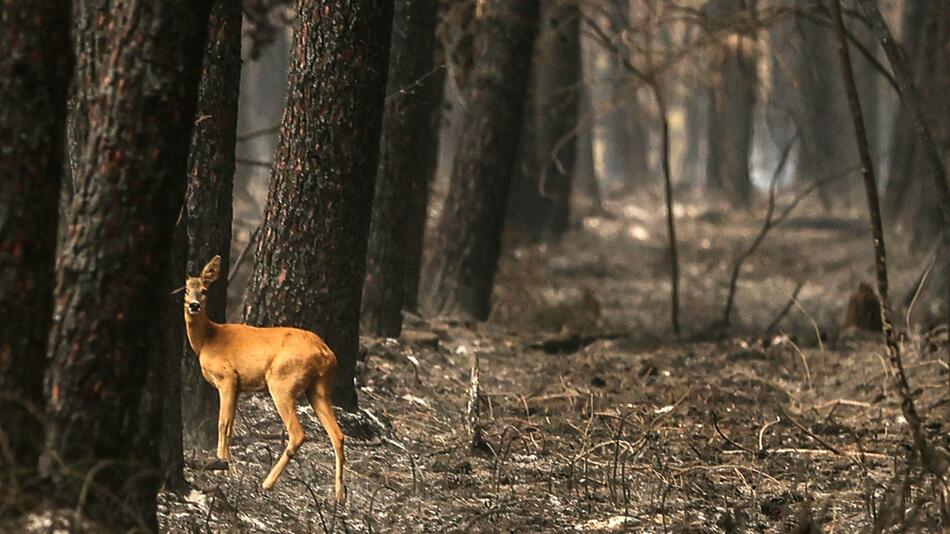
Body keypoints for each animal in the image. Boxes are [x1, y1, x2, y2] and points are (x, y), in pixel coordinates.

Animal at [182, 258, 346, 504]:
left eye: (204, 290)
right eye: (185, 290)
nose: (193, 305)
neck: (207, 340)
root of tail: (326, 353)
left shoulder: (227, 377)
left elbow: (223, 423)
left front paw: (222, 467)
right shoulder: (237, 385)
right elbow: (230, 424)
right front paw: (226, 465)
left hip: (282, 381)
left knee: (298, 433)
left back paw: (267, 483)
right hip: (320, 387)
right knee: (338, 435)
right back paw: (339, 496)